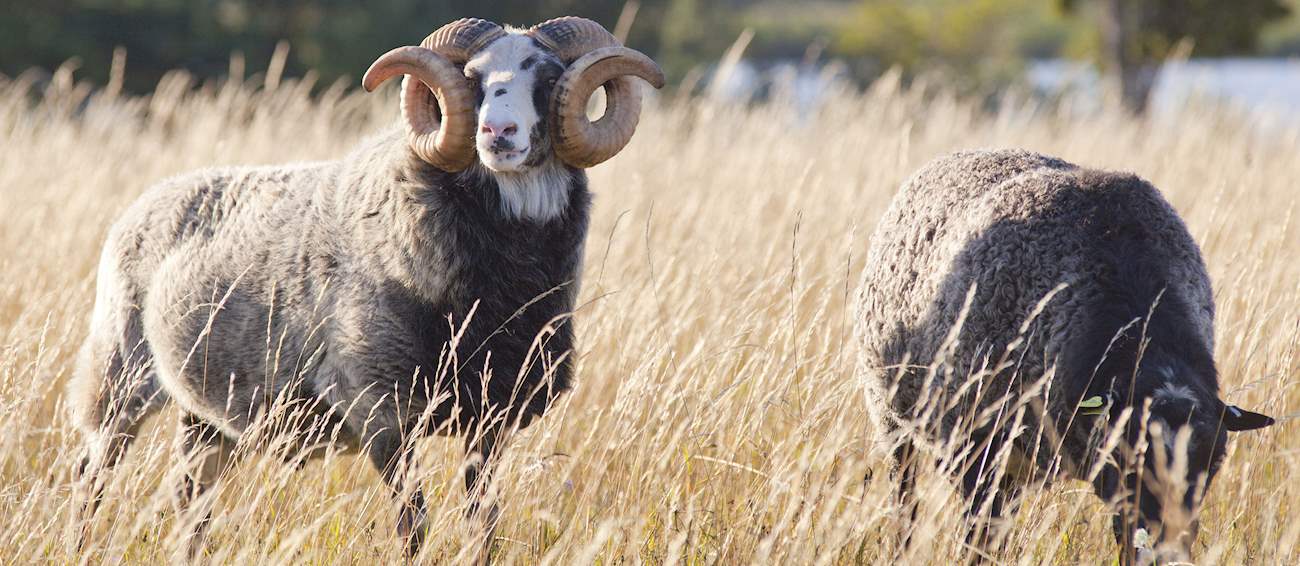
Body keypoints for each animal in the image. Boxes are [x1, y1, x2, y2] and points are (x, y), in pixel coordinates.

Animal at [67, 16, 664, 559]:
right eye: (473, 78)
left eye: (547, 77)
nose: (498, 133)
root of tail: (144, 204)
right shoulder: (384, 413)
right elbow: (413, 527)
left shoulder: (489, 422)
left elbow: (483, 523)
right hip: (119, 377)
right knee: (91, 476)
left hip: (207, 416)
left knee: (189, 494)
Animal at [854, 149, 1274, 564]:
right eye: (1129, 457)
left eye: (1212, 463)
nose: (1166, 552)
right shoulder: (979, 447)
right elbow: (978, 538)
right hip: (892, 417)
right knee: (905, 496)